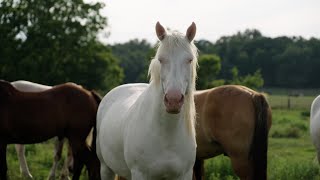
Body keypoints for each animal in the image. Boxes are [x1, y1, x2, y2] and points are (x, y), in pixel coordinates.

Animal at [95, 21, 198, 179]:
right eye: (161, 59)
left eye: (189, 60)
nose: (173, 100)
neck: (167, 134)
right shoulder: (140, 174)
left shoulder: (183, 175)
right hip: (106, 168)